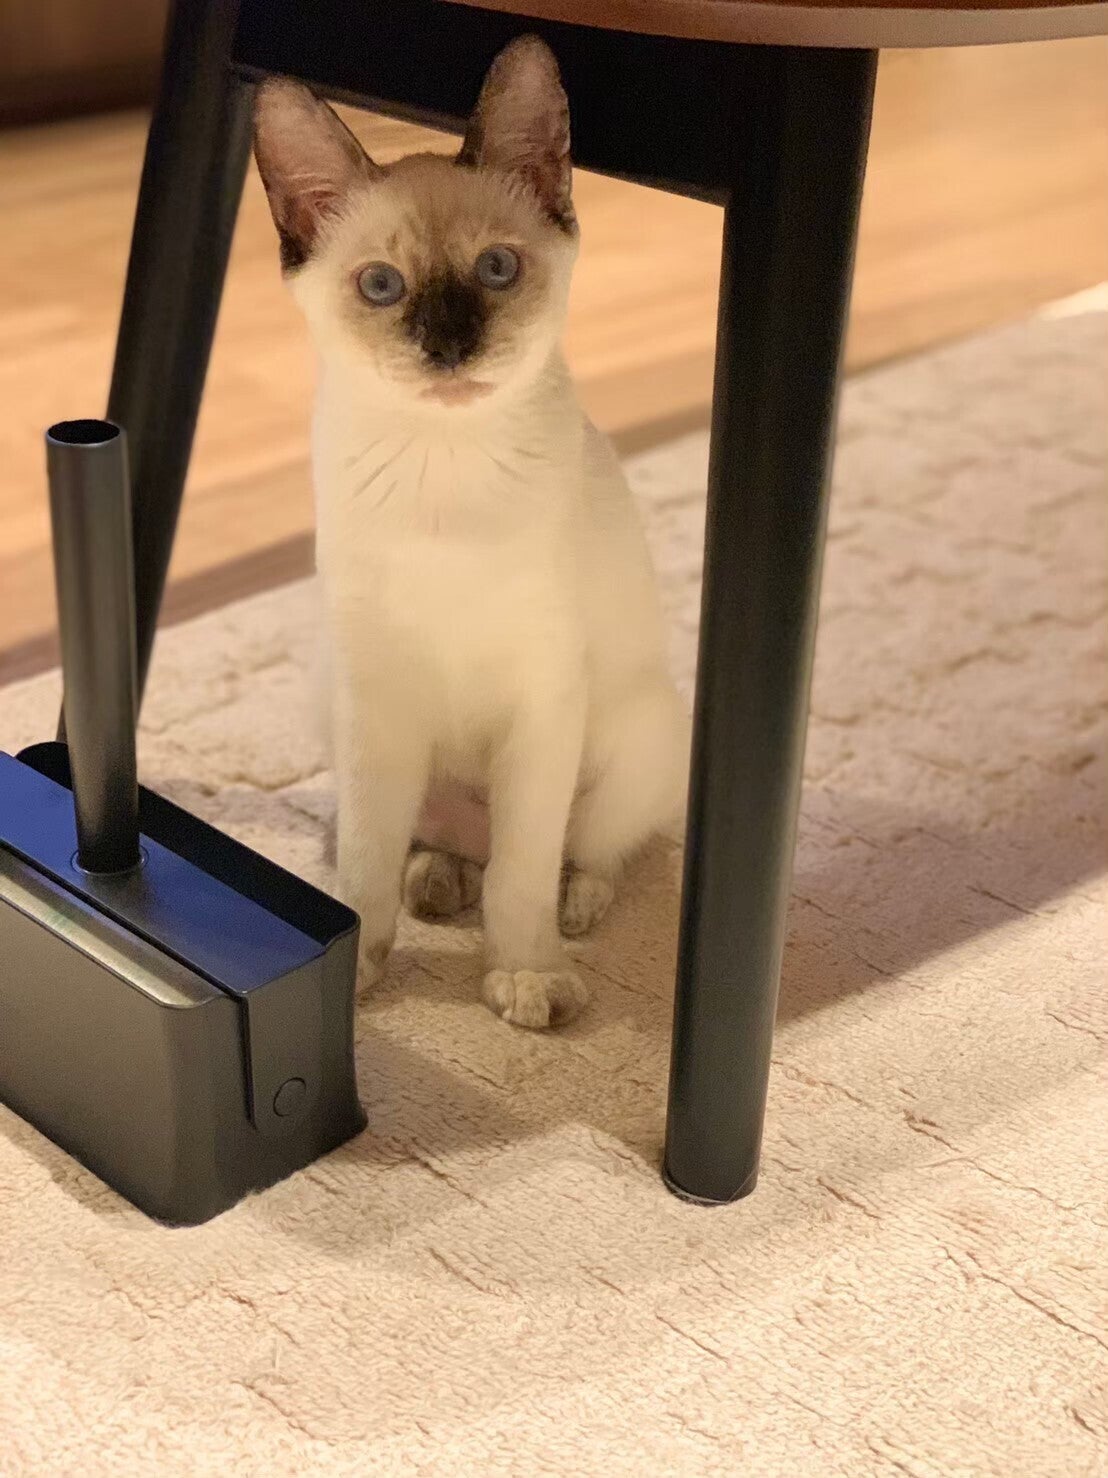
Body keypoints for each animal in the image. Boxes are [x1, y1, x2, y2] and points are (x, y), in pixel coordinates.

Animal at [253, 37, 688, 1029]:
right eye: (381, 287)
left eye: (496, 271)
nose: (449, 348)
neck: (442, 472)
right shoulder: (377, 698)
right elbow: (366, 867)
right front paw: (360, 975)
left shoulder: (542, 694)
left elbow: (521, 879)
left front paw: (524, 976)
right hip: (338, 703)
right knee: (437, 847)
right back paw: (435, 881)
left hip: (632, 737)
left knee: (572, 851)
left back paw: (572, 906)